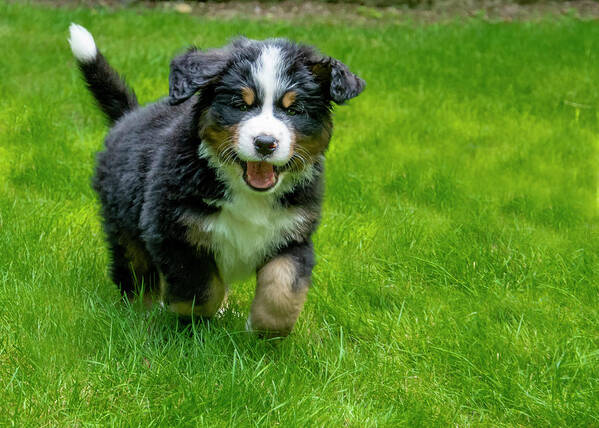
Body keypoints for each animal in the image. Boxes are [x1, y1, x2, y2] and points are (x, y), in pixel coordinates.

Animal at [68, 23, 364, 338]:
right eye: (240, 105)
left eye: (294, 110)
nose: (265, 143)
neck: (248, 192)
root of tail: (130, 116)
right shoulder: (174, 232)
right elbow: (202, 291)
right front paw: (189, 318)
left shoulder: (292, 233)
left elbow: (283, 290)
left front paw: (264, 329)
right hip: (123, 224)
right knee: (136, 274)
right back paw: (143, 312)